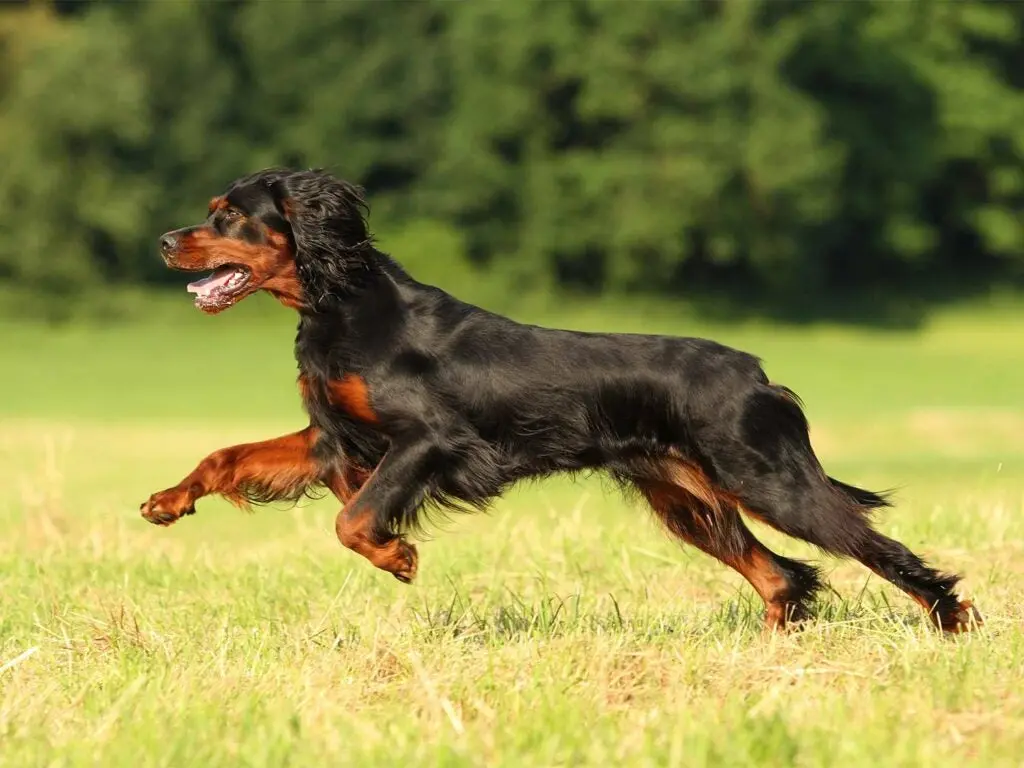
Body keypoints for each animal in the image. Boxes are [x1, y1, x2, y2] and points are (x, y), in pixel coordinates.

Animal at [140, 167, 978, 630]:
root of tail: (757, 373)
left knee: (874, 547)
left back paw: (952, 622)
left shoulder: (431, 441)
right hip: (688, 501)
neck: (345, 302)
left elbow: (353, 519)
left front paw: (399, 556)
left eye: (229, 214)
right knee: (783, 576)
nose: (164, 241)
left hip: (769, 481)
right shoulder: (335, 439)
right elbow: (228, 454)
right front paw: (167, 500)